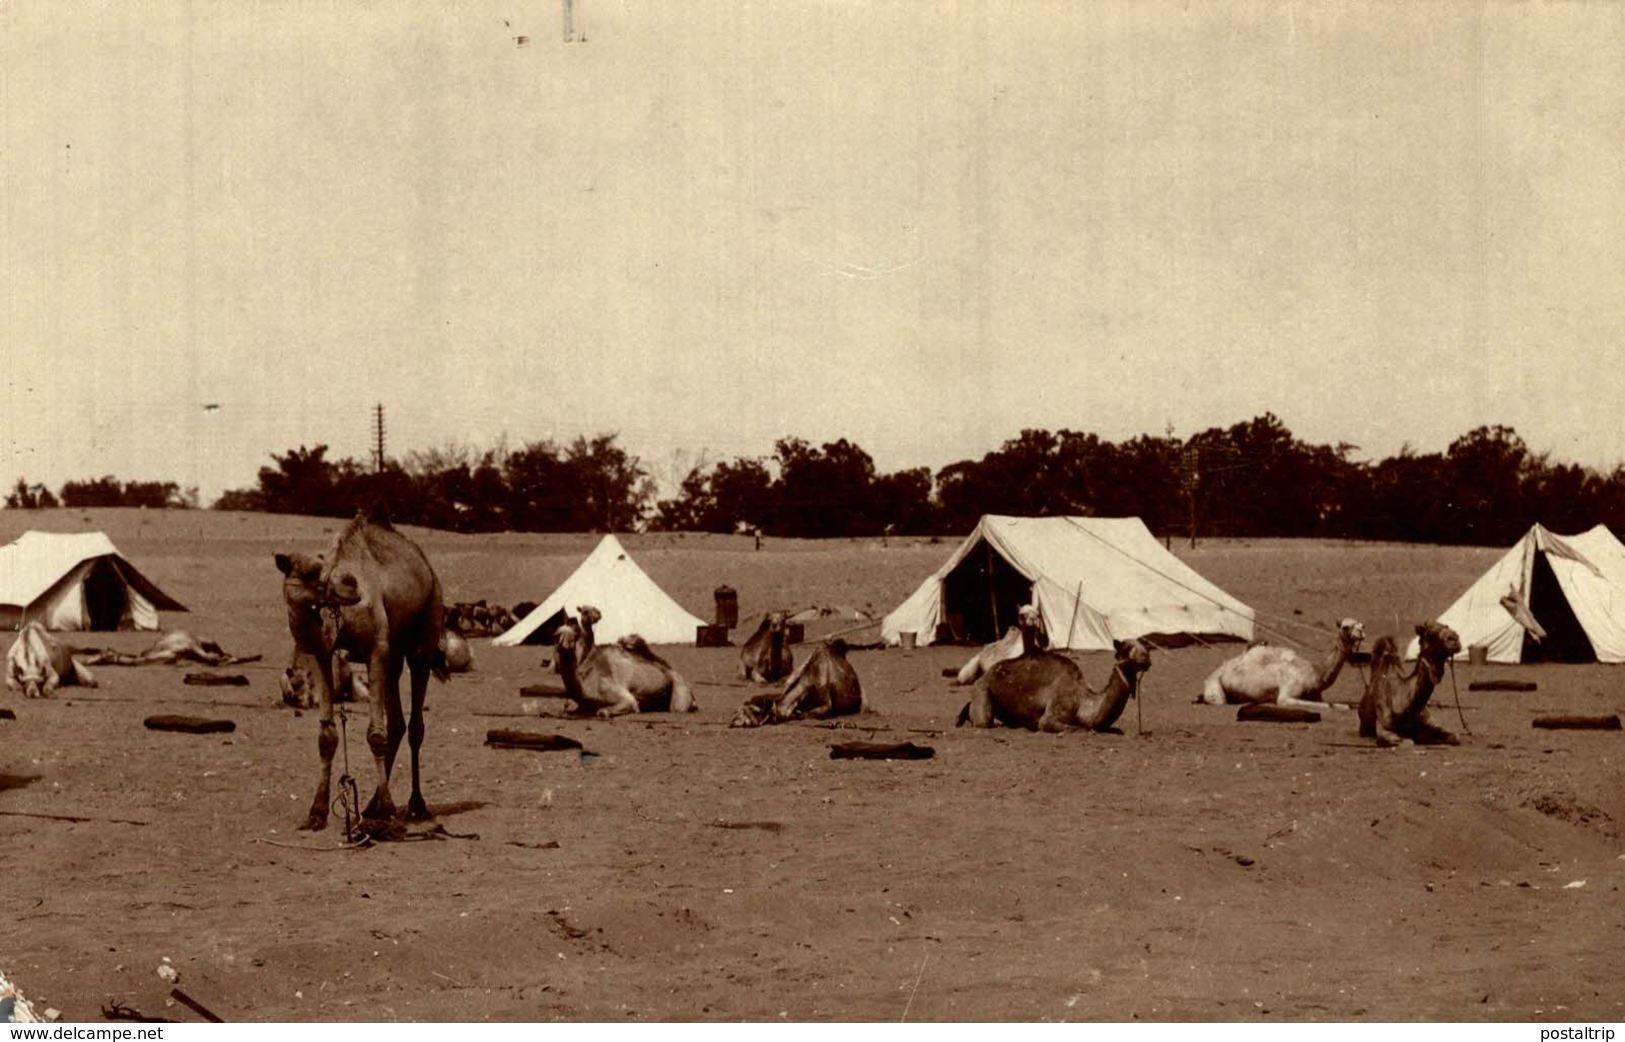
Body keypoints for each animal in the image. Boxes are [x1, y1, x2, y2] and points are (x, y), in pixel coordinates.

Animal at [274, 507, 448, 832]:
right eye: (310, 572)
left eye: (323, 565)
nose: (351, 583)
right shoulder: (321, 654)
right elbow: (327, 737)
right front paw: (317, 812)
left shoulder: (376, 648)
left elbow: (375, 734)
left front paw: (390, 810)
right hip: (395, 653)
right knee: (398, 723)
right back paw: (370, 807)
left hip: (426, 633)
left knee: (415, 724)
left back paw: (414, 805)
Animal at [549, 617, 695, 715]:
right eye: (556, 635)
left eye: (574, 635)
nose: (572, 620)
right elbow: (568, 707)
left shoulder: (624, 697)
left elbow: (604, 711)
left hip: (679, 694)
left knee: (677, 707)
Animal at [1202, 617, 1365, 708]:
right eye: (1345, 627)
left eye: (1362, 625)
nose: (1361, 633)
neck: (1315, 674)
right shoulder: (1287, 694)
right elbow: (1326, 706)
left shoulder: (1317, 695)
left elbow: (1334, 704)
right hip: (1214, 686)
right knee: (1219, 700)